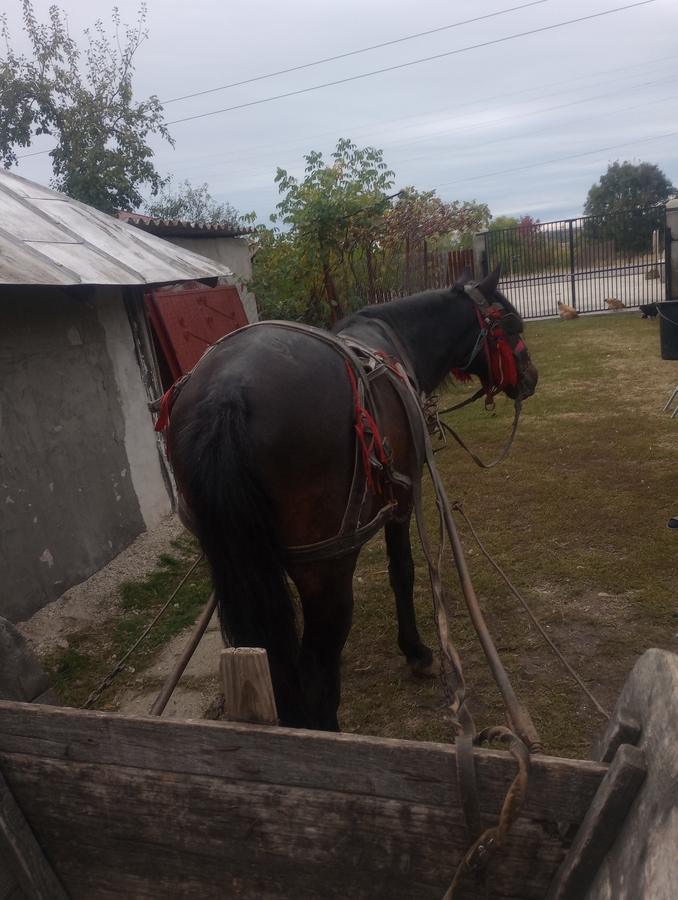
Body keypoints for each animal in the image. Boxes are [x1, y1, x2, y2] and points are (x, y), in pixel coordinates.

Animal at [164, 266, 538, 731]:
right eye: (512, 326)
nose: (531, 378)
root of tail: (227, 392)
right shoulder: (401, 503)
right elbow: (402, 572)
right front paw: (417, 653)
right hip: (328, 570)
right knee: (316, 678)